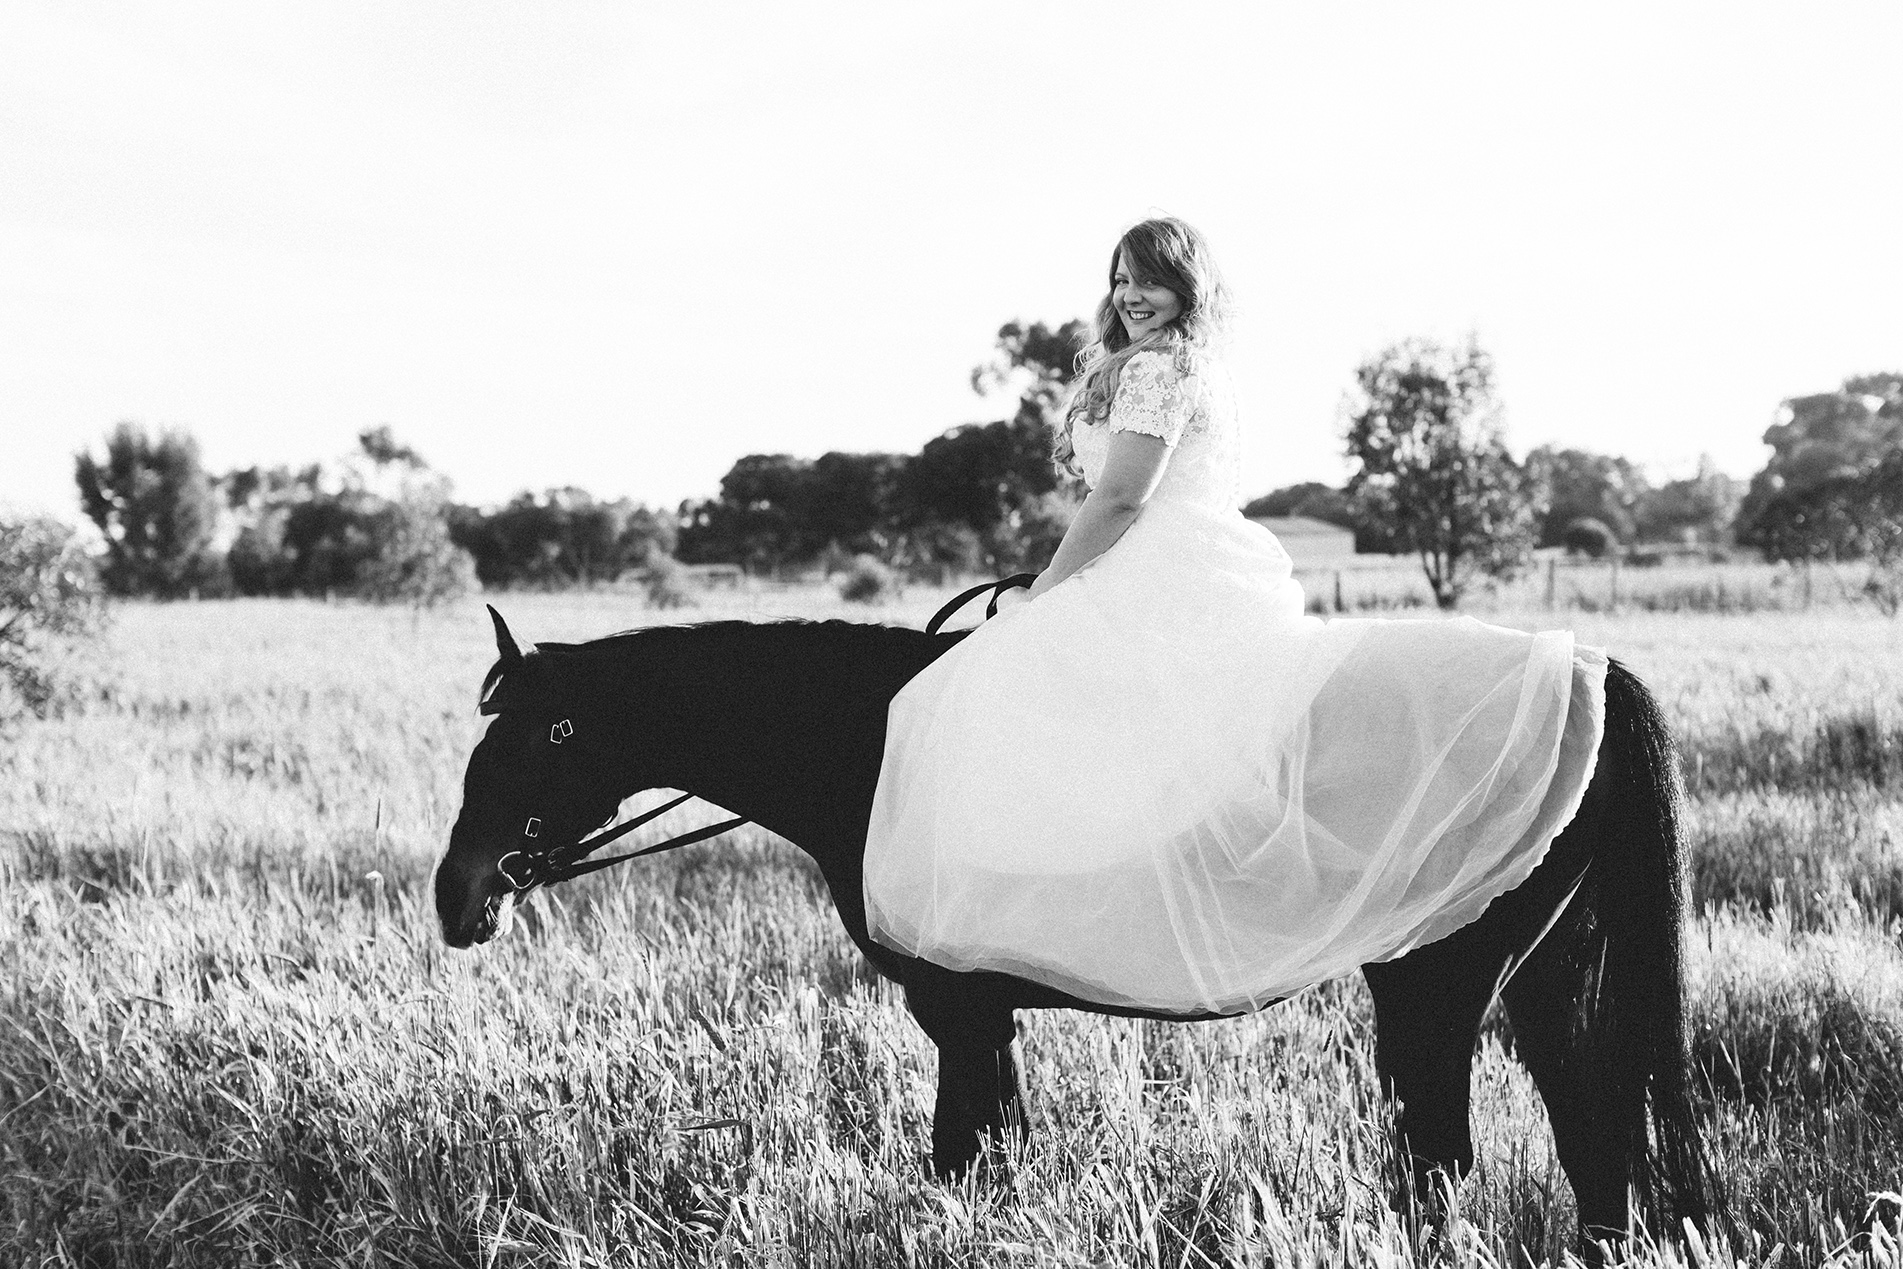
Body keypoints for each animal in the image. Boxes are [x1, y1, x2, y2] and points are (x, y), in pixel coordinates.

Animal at [437, 608, 1720, 1248]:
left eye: (552, 731)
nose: (461, 892)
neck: (883, 742)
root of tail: (1582, 672)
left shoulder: (957, 1011)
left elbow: (960, 1155)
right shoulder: (983, 1017)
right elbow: (990, 1153)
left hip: (1432, 989)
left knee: (1447, 1161)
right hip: (1542, 976)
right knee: (1591, 1129)